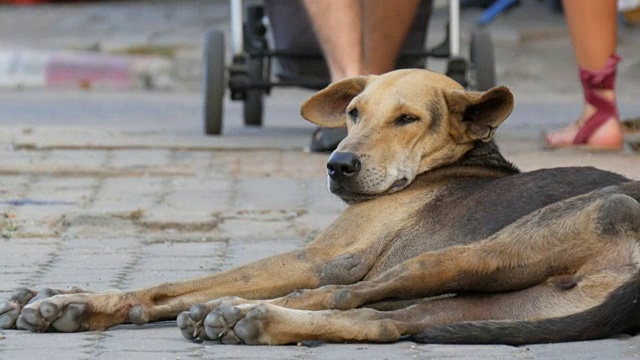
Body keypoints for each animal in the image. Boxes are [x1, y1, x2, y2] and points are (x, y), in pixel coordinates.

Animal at [1, 69, 640, 344]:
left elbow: (172, 285)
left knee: (343, 295)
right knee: (384, 324)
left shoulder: (318, 258)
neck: (449, 164)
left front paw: (80, 303)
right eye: (353, 112)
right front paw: (60, 295)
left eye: (407, 118)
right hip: (495, 300)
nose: (339, 165)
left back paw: (239, 312)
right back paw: (257, 322)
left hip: (468, 256)